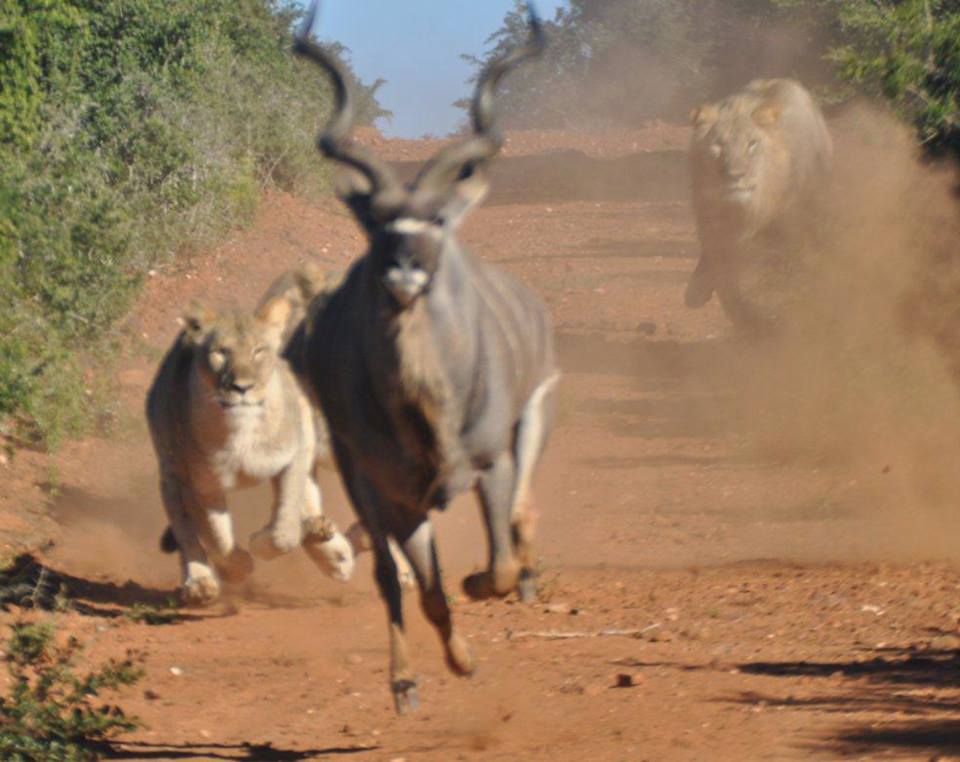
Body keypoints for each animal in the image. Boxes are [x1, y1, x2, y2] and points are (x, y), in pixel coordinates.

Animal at [148, 288, 358, 604]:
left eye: (259, 351)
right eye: (220, 353)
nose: (242, 387)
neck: (241, 431)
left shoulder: (292, 457)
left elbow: (284, 531)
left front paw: (262, 541)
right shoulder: (203, 485)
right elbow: (216, 537)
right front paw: (238, 567)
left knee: (306, 504)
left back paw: (329, 548)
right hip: (171, 477)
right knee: (187, 532)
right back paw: (199, 583)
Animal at [688, 78, 828, 330]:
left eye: (751, 143)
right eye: (718, 145)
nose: (736, 175)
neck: (744, 212)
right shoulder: (714, 233)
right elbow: (729, 290)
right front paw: (750, 323)